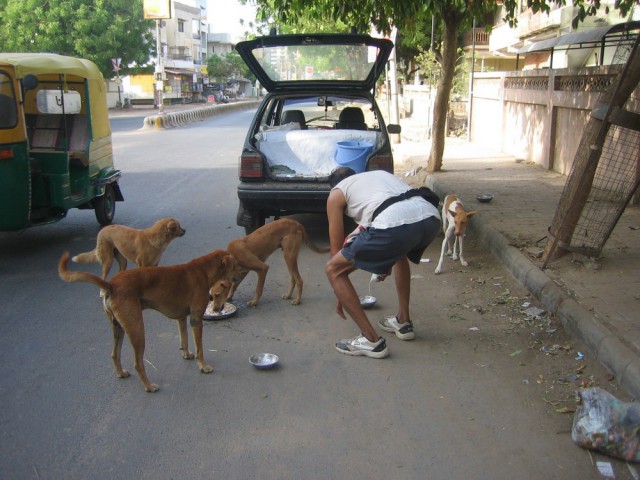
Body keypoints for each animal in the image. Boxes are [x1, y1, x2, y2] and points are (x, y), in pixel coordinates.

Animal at [57, 249, 241, 392]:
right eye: (234, 265)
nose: (239, 276)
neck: (203, 269)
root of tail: (111, 285)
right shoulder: (196, 320)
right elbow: (200, 348)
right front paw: (203, 366)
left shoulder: (181, 318)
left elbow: (184, 340)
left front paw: (187, 354)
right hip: (137, 330)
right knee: (138, 363)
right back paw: (149, 386)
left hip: (118, 328)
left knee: (114, 354)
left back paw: (121, 373)